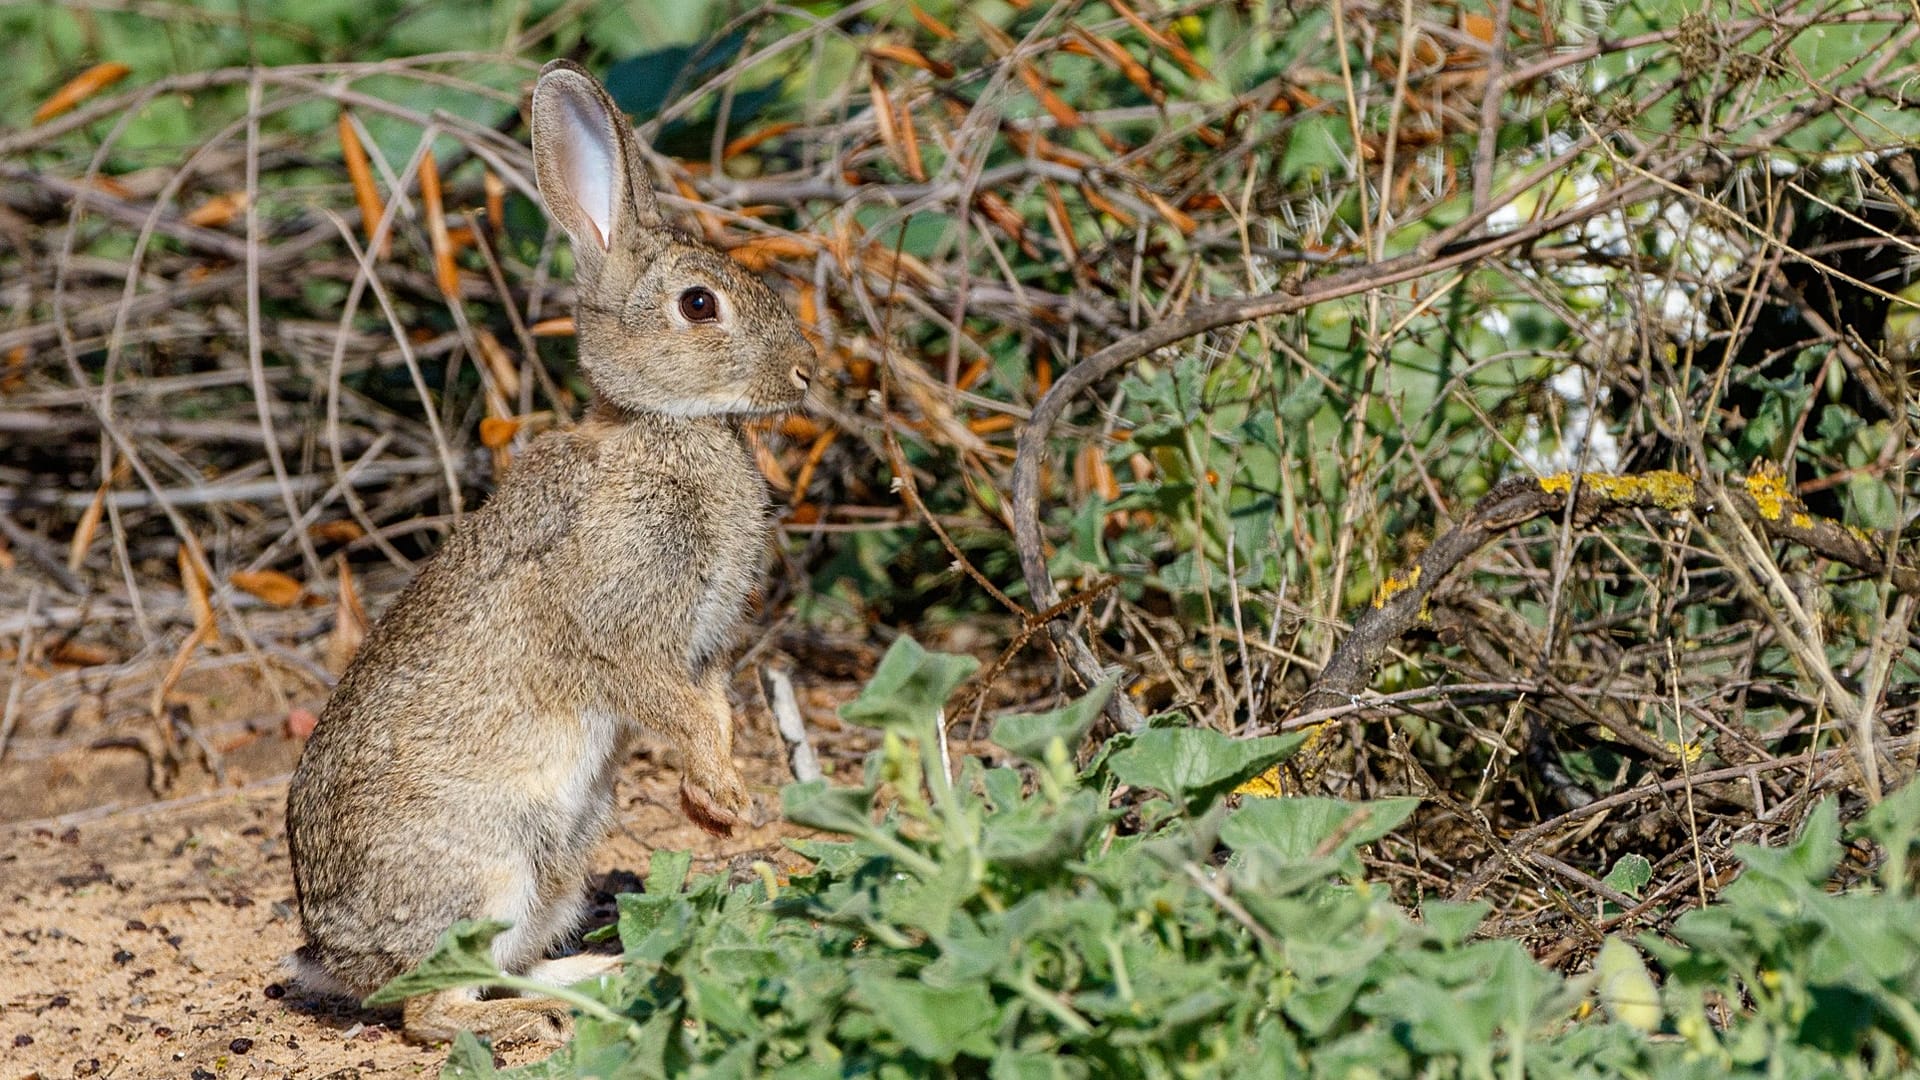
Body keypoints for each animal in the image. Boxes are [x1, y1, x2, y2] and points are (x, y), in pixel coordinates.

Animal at [283, 58, 816, 1046]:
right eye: (698, 305)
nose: (807, 373)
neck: (662, 427)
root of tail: (332, 955)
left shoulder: (702, 649)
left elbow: (713, 708)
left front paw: (714, 807)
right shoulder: (621, 628)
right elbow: (673, 707)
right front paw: (726, 797)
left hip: (558, 863)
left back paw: (607, 973)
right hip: (488, 868)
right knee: (434, 1010)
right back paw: (543, 1016)